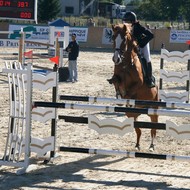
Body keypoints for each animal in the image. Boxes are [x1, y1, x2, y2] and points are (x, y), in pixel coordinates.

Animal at [107, 23, 159, 151]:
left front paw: (125, 99)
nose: (116, 59)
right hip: (136, 112)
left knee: (153, 128)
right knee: (138, 128)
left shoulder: (138, 83)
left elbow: (130, 92)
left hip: (153, 108)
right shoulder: (117, 77)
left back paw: (151, 146)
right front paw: (119, 97)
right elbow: (116, 82)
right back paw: (137, 145)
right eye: (113, 38)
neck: (125, 64)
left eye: (124, 40)